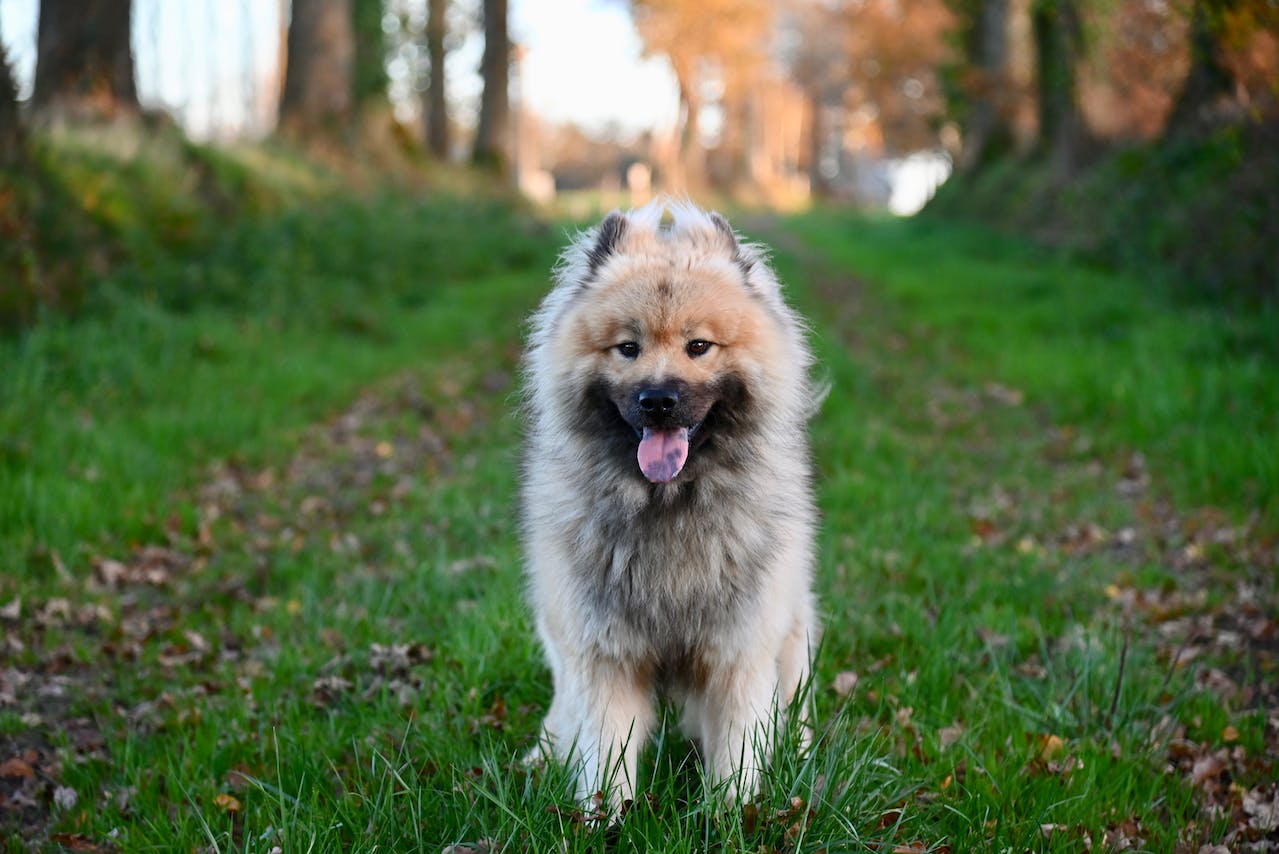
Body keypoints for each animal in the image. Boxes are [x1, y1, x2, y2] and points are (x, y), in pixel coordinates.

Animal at [519, 200, 818, 807]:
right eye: (628, 348)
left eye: (697, 346)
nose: (657, 400)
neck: (669, 508)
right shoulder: (603, 655)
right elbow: (605, 752)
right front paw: (605, 816)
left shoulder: (738, 653)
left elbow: (738, 750)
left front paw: (733, 813)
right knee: (563, 707)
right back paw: (543, 756)